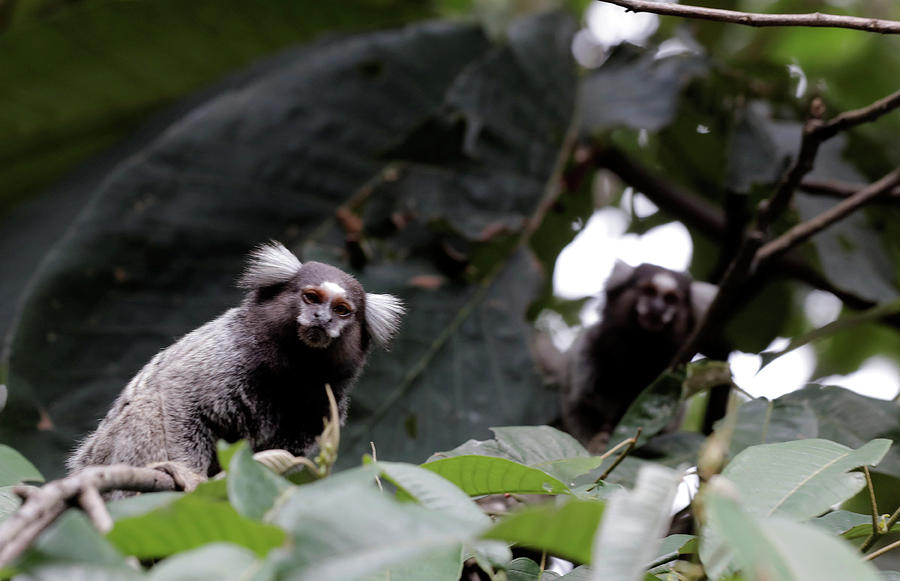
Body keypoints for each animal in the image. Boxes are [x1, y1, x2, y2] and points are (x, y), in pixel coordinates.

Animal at [68, 240, 406, 484]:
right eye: (311, 297)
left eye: (341, 310)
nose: (321, 318)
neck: (295, 369)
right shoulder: (228, 353)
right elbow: (177, 394)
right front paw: (190, 474)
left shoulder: (325, 401)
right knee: (148, 406)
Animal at [560, 260, 712, 450]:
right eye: (649, 291)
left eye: (671, 299)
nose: (657, 308)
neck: (638, 351)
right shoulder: (586, 351)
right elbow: (580, 404)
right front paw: (596, 443)